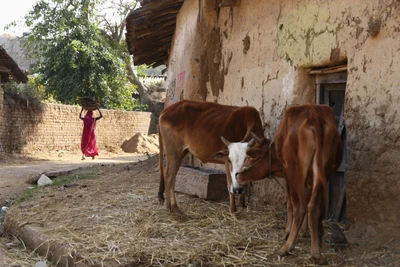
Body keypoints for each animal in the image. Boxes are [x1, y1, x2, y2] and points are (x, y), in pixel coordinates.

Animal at [227, 103, 342, 264]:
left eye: (249, 157)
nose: (238, 175)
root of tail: (314, 115)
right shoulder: (310, 180)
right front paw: (305, 231)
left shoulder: (288, 176)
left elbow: (290, 205)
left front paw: (288, 231)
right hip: (324, 172)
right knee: (313, 207)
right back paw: (317, 252)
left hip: (295, 173)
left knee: (300, 208)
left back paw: (287, 247)